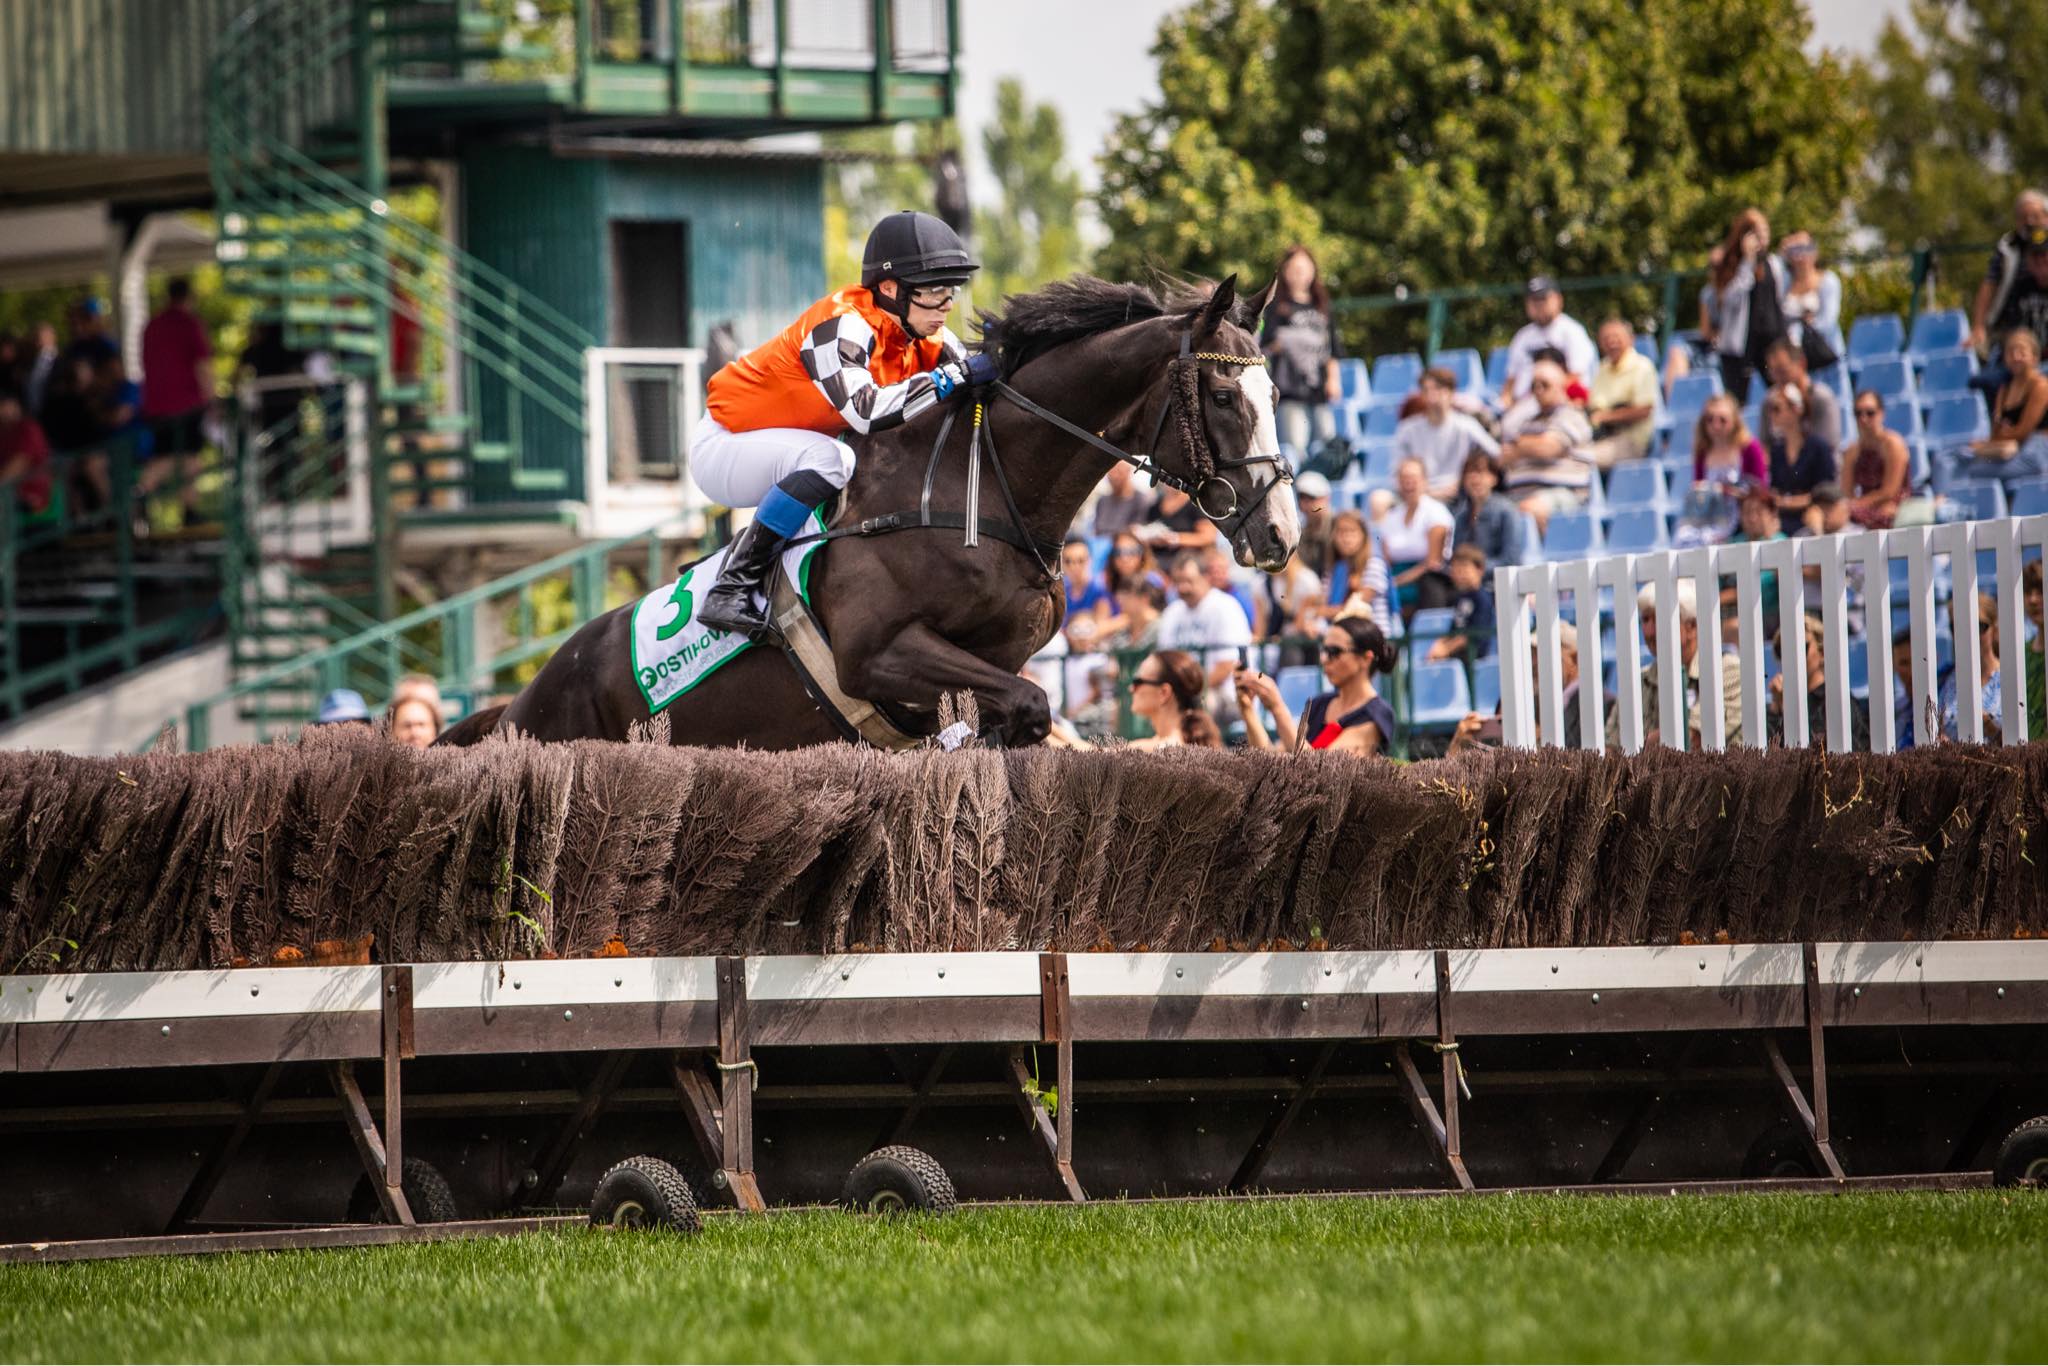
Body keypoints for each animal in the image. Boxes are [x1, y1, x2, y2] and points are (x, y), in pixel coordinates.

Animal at [458, 274, 1302, 753]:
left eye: (1276, 393)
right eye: (1223, 397)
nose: (1281, 534)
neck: (981, 493)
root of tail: (516, 704)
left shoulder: (997, 664)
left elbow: (1021, 718)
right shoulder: (878, 655)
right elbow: (1025, 709)